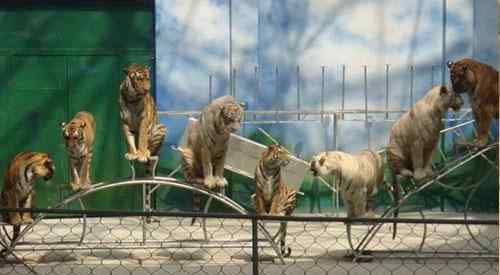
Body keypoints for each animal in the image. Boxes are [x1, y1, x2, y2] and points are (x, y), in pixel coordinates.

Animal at [386, 85, 464, 238]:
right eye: (455, 94)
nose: (462, 102)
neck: (437, 112)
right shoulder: (418, 142)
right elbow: (418, 159)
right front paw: (420, 175)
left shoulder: (432, 142)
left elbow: (427, 159)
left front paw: (429, 172)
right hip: (395, 150)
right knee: (398, 171)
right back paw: (407, 172)